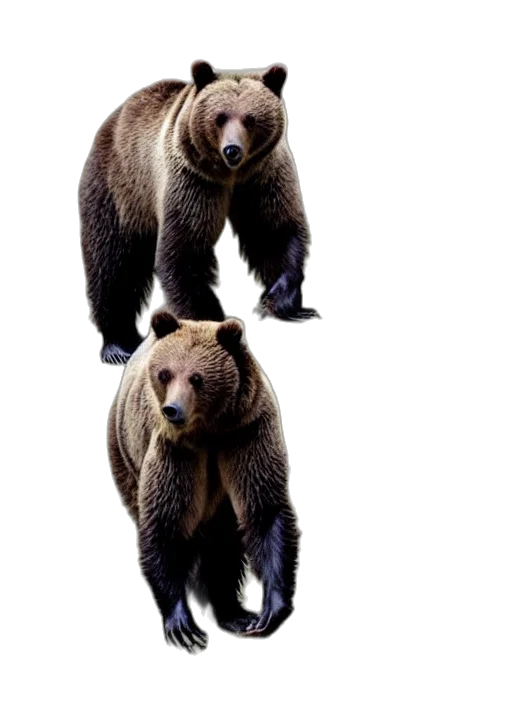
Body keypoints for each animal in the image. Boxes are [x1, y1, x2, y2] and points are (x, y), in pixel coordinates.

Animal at [79, 60, 316, 367]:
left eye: (250, 118)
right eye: (220, 117)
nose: (232, 150)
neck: (231, 175)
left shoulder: (264, 174)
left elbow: (274, 230)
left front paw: (282, 301)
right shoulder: (193, 180)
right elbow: (184, 250)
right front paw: (210, 324)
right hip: (119, 189)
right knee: (112, 261)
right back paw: (119, 345)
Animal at [107, 306, 301, 652]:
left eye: (197, 378)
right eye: (165, 373)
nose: (172, 409)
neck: (209, 429)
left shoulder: (247, 430)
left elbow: (265, 508)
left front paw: (270, 610)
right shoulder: (175, 448)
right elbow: (165, 521)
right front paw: (182, 623)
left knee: (224, 539)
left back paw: (232, 611)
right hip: (125, 454)